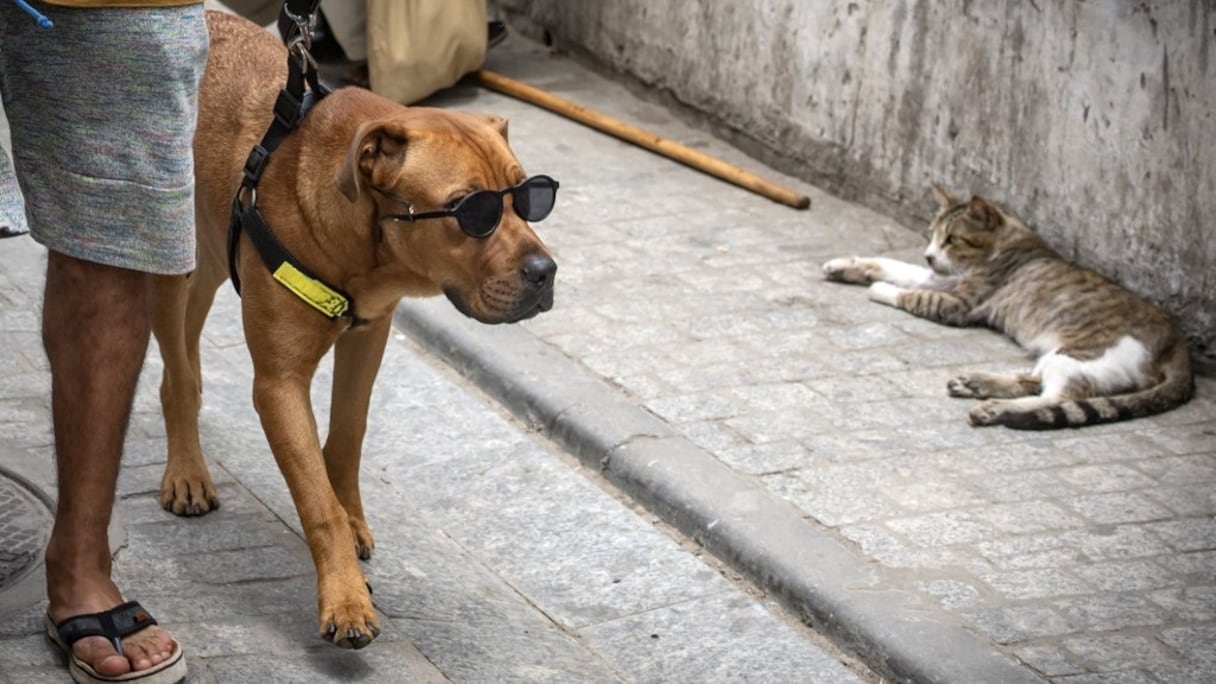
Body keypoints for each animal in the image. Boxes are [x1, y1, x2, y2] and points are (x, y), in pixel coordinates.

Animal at [149, 10, 556, 647]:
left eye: (529, 196)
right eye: (472, 210)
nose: (546, 271)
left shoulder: (369, 336)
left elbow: (346, 437)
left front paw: (354, 518)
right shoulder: (279, 384)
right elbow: (315, 499)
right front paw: (344, 597)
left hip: (212, 257)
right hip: (172, 261)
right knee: (178, 375)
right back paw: (187, 472)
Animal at [822, 183, 1191, 428]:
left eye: (951, 239)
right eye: (931, 234)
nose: (929, 254)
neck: (1009, 240)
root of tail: (1178, 341)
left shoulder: (957, 302)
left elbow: (909, 293)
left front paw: (880, 289)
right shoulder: (944, 279)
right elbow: (895, 266)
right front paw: (847, 265)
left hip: (1082, 354)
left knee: (1054, 398)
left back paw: (995, 409)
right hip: (1061, 356)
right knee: (1032, 381)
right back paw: (975, 383)